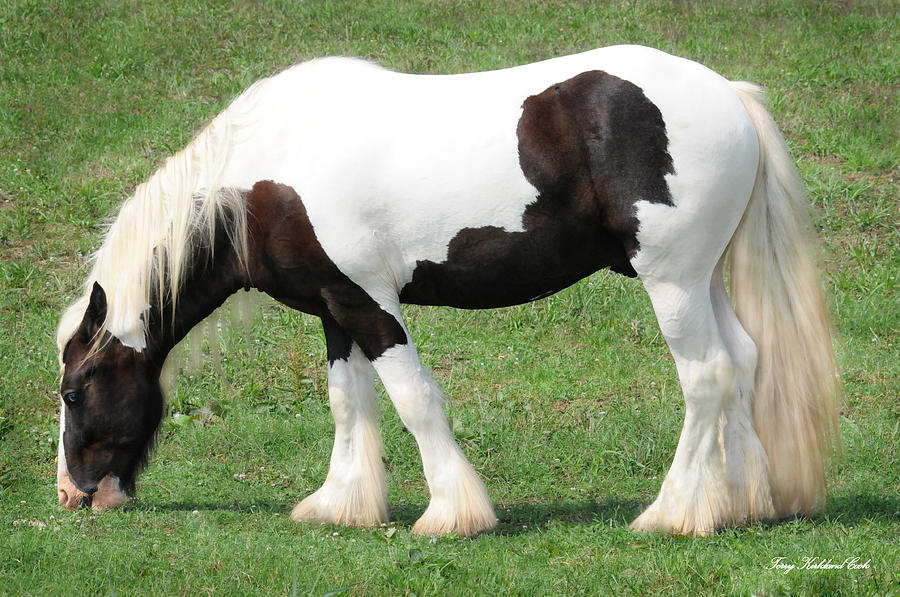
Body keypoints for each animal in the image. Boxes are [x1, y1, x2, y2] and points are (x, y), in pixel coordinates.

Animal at [58, 45, 844, 536]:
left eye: (72, 391)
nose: (73, 494)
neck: (266, 171)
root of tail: (730, 97)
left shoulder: (371, 303)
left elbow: (414, 399)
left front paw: (450, 514)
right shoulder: (336, 308)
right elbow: (348, 402)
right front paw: (341, 504)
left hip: (672, 282)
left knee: (706, 375)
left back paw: (672, 513)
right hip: (703, 278)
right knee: (743, 362)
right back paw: (740, 504)